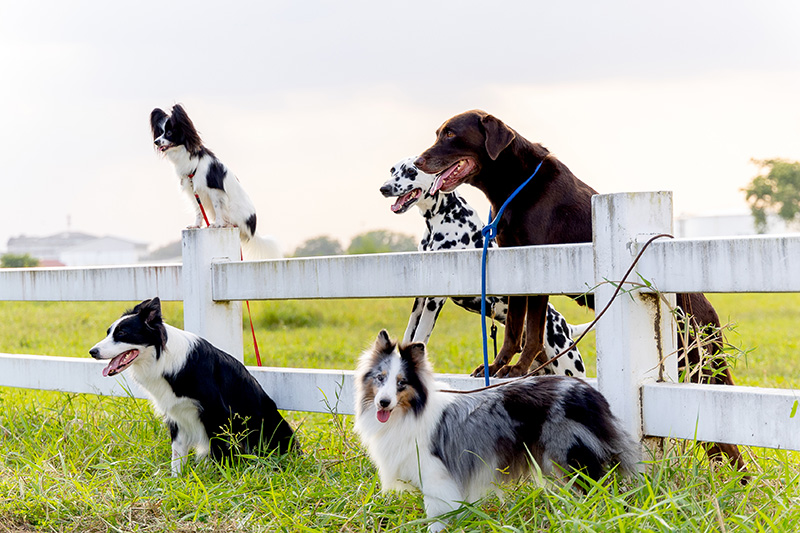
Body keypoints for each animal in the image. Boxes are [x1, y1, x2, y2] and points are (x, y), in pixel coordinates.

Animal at [90, 298, 296, 476]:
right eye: (108, 332)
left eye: (122, 333)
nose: (92, 352)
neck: (163, 360)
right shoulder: (176, 416)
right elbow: (177, 455)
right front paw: (176, 481)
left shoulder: (216, 413)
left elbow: (219, 451)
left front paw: (222, 478)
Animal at [150, 103, 282, 258]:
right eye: (160, 132)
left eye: (170, 133)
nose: (156, 141)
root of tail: (253, 229)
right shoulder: (194, 191)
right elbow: (198, 211)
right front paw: (196, 225)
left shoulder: (214, 191)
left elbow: (218, 208)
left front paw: (218, 224)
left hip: (234, 209)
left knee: (233, 221)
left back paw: (227, 224)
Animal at [354, 330, 636, 528]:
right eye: (380, 378)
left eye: (401, 383)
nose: (383, 403)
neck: (410, 411)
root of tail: (591, 393)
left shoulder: (435, 476)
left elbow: (436, 516)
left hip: (571, 456)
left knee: (600, 489)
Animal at [378, 156, 592, 376]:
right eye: (392, 170)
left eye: (411, 171)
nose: (384, 188)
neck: (443, 215)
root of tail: (565, 326)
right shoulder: (420, 298)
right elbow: (409, 334)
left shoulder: (434, 299)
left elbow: (421, 335)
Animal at [416, 108, 748, 474]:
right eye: (437, 133)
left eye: (450, 134)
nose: (418, 161)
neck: (513, 184)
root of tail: (711, 317)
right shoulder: (515, 265)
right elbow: (514, 330)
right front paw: (498, 367)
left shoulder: (538, 266)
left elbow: (532, 333)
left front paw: (518, 370)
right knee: (719, 444)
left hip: (699, 364)